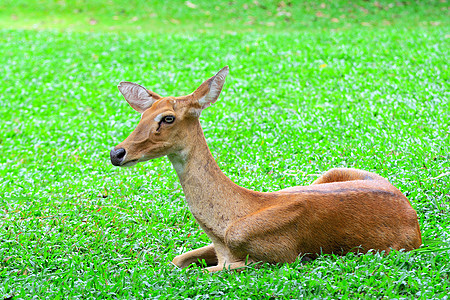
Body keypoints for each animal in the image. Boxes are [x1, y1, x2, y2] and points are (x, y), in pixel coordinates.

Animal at [109, 67, 422, 274]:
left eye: (168, 118)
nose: (117, 153)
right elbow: (177, 261)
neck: (227, 223)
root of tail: (413, 215)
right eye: (142, 115)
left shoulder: (282, 255)